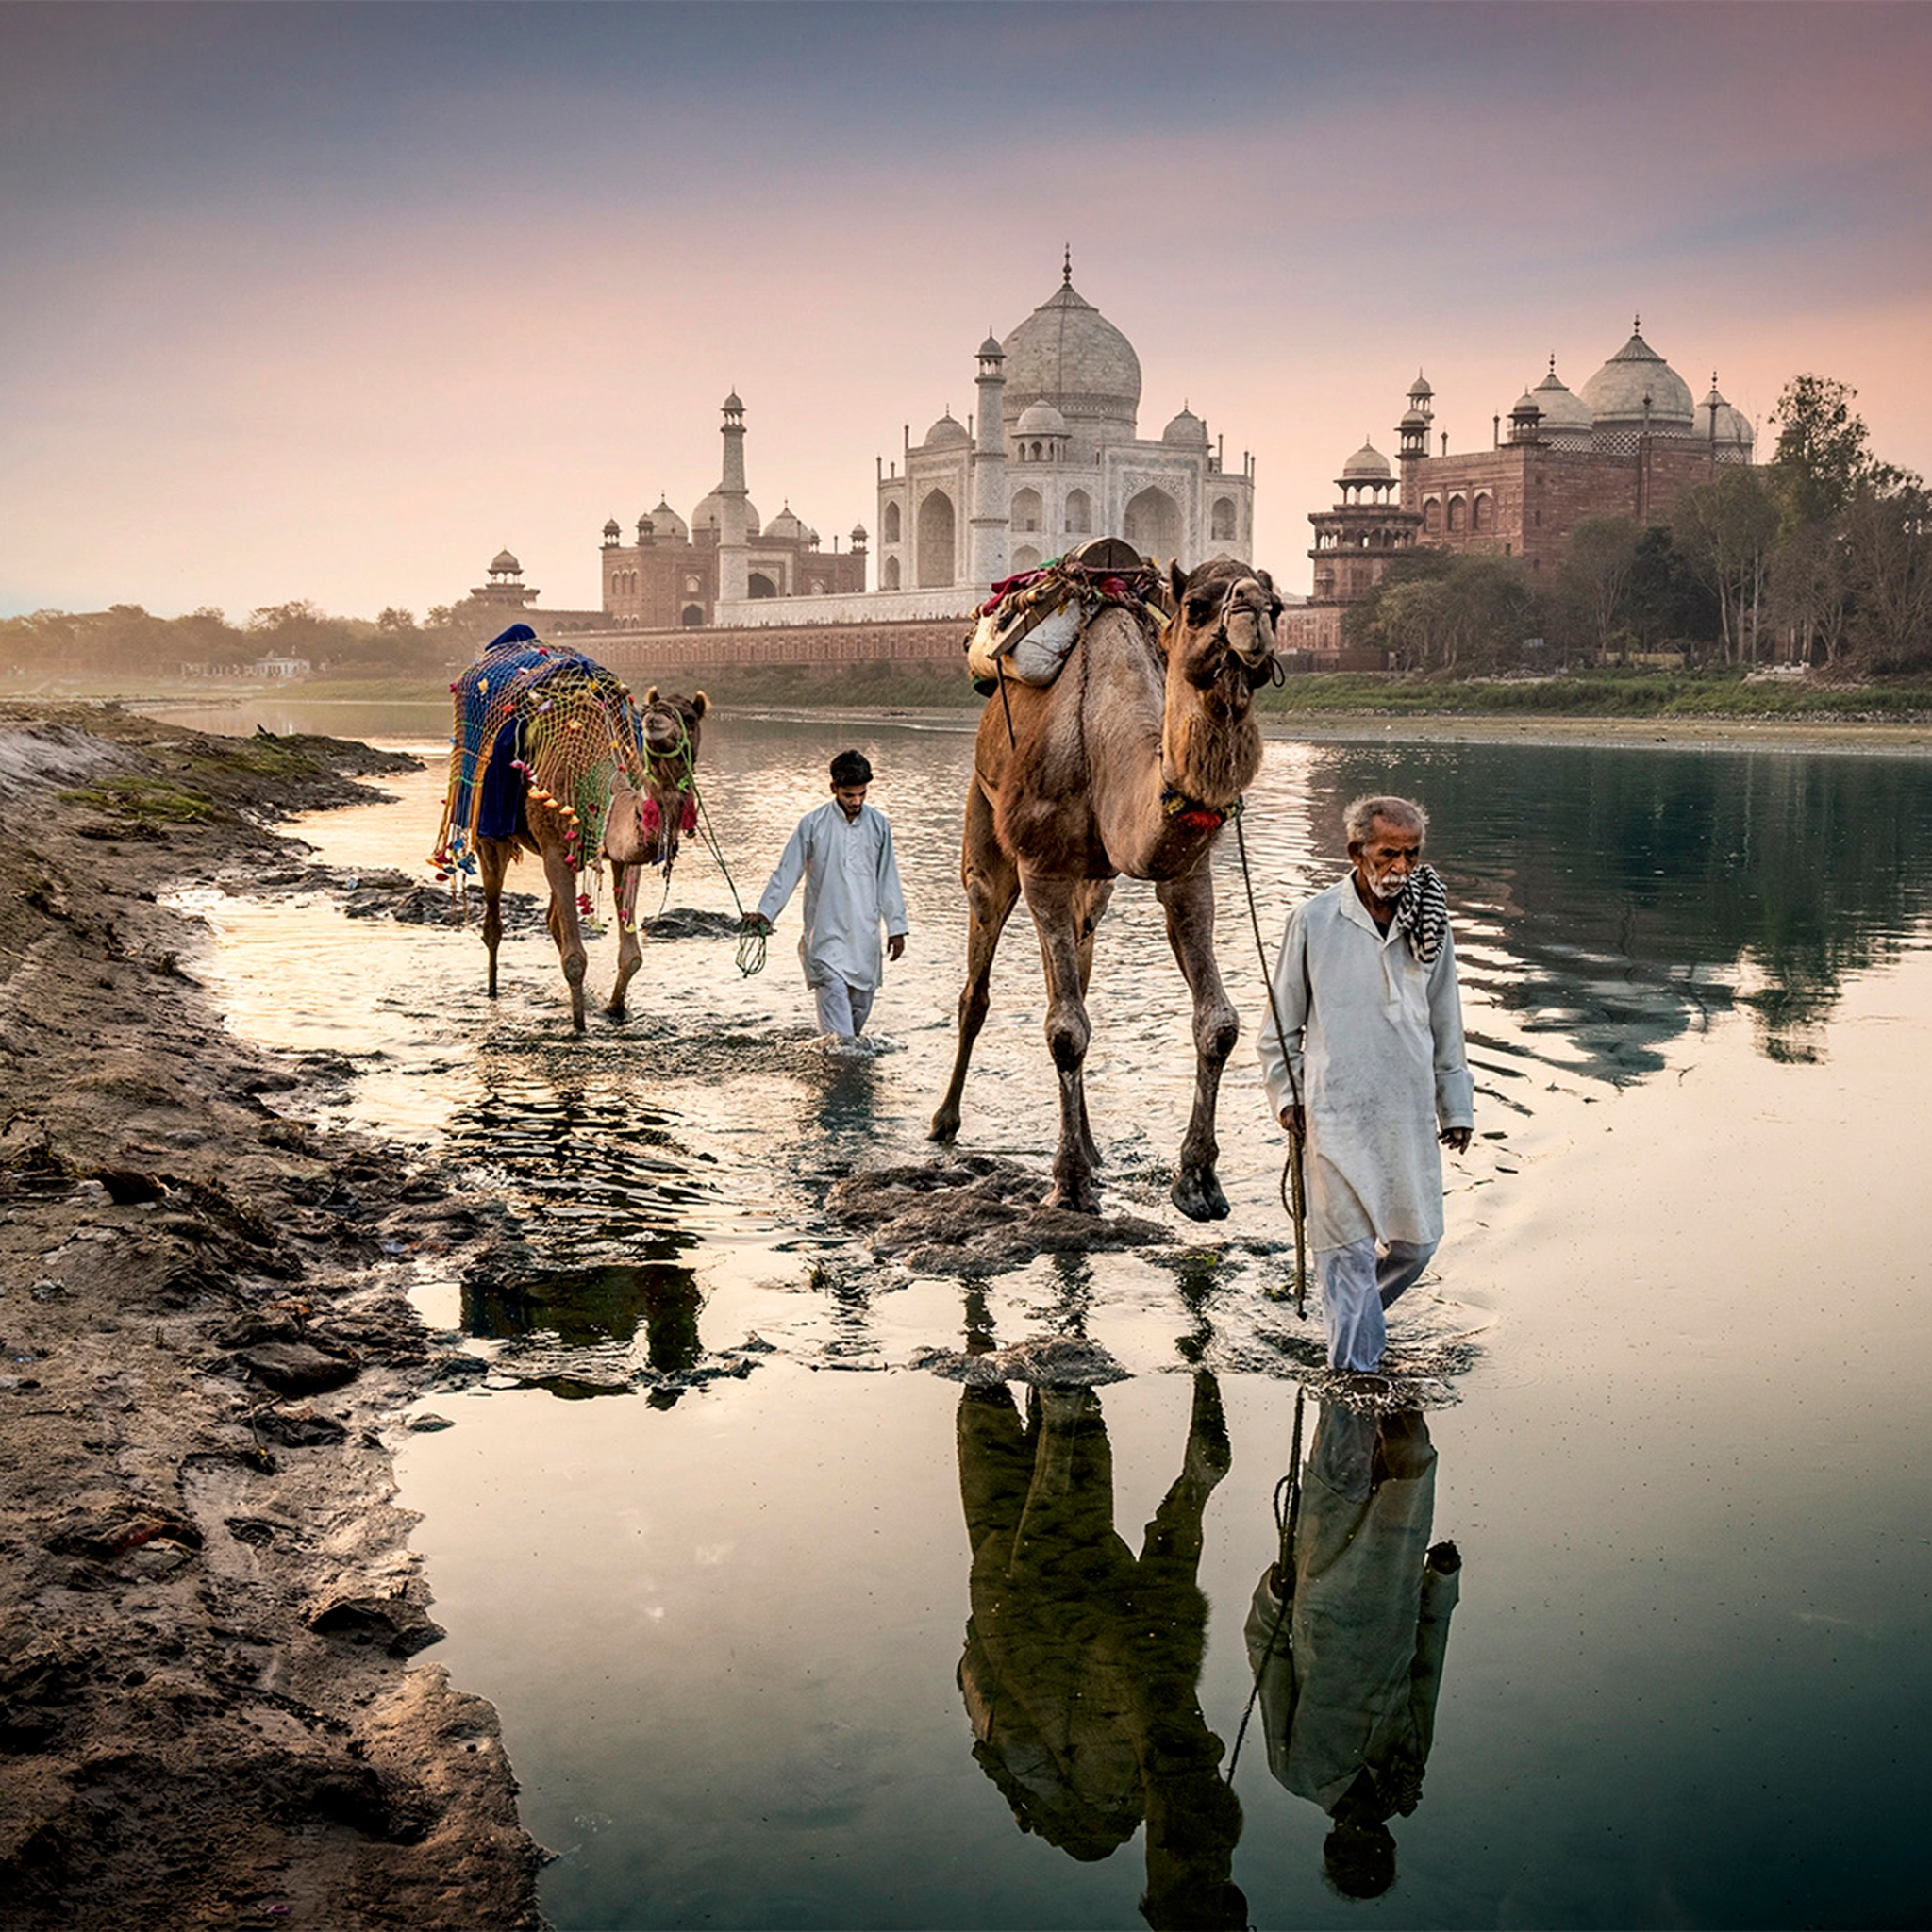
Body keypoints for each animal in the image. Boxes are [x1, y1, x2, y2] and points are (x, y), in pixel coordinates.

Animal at [436, 633, 709, 1030]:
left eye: (688, 717)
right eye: (648, 713)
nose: (655, 722)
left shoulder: (624, 858)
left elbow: (631, 957)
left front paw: (615, 1010)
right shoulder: (554, 848)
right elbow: (576, 960)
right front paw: (579, 1028)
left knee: (551, 920)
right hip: (486, 824)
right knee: (493, 923)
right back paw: (492, 993)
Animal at [930, 552, 1281, 1221]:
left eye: (1278, 608)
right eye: (1196, 606)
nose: (1251, 612)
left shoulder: (1184, 871)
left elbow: (1219, 1022)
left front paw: (1198, 1181)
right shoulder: (1040, 862)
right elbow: (1064, 1030)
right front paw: (1068, 1184)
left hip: (1092, 885)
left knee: (1076, 969)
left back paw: (1093, 1148)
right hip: (987, 830)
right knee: (978, 985)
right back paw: (944, 1122)